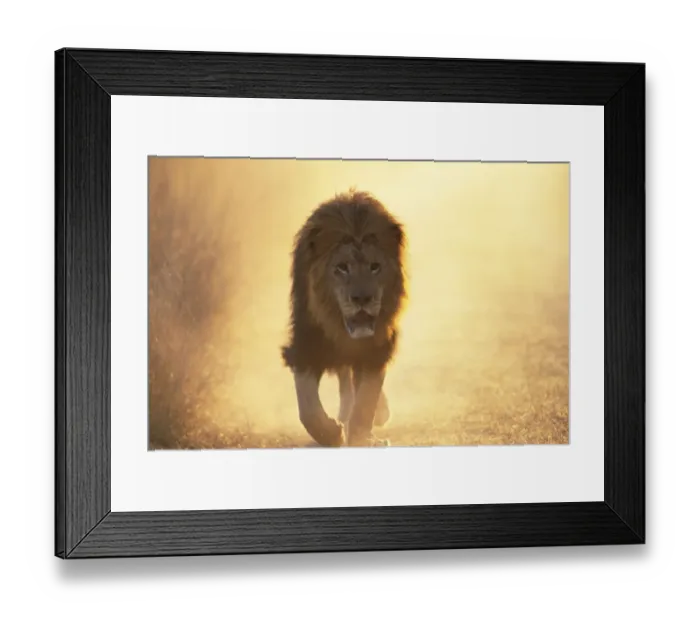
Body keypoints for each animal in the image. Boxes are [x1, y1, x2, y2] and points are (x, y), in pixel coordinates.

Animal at [281, 189, 407, 448]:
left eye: (375, 267)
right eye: (342, 268)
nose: (362, 298)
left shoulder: (377, 347)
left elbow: (366, 399)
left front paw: (361, 437)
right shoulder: (306, 343)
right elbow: (307, 405)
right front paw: (329, 433)